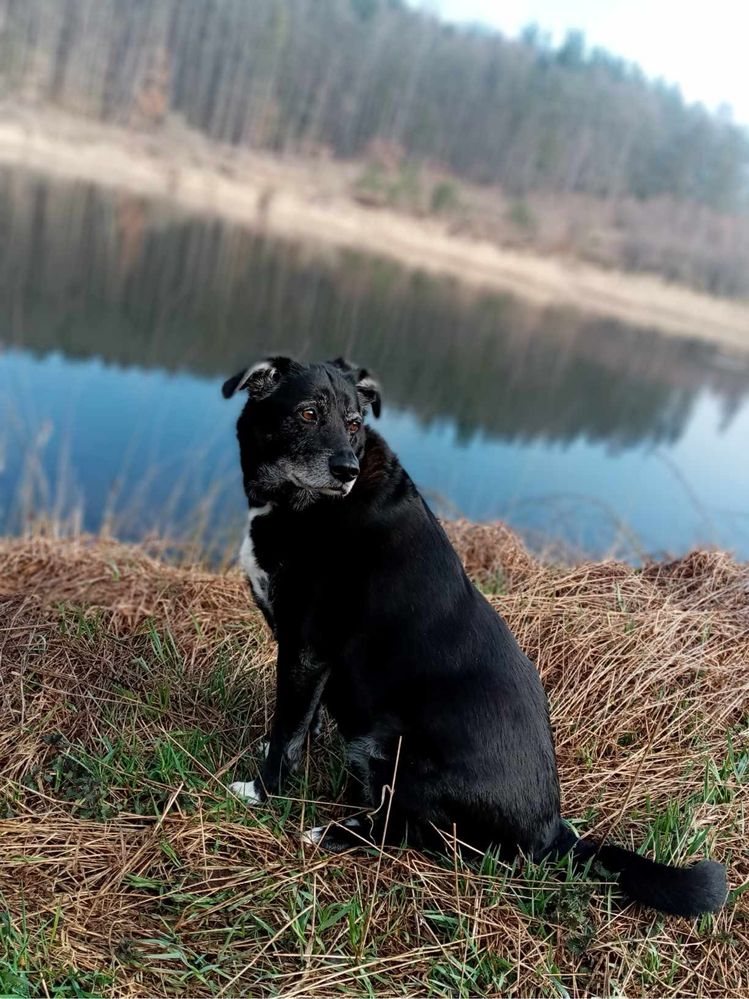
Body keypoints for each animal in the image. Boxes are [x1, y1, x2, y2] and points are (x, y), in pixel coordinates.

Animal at [224, 356, 724, 916]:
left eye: (354, 424)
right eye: (309, 413)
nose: (346, 470)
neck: (301, 504)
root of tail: (553, 834)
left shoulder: (307, 648)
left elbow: (287, 736)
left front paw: (264, 792)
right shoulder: (309, 660)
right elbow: (301, 726)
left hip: (394, 747)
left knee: (404, 832)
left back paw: (334, 832)